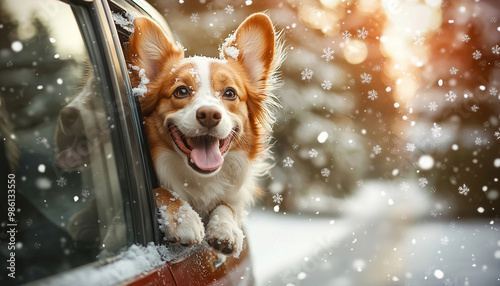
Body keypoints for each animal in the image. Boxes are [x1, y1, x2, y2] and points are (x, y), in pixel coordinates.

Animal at [127, 12, 284, 256]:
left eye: (230, 93)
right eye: (181, 91)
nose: (209, 114)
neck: (199, 180)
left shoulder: (232, 198)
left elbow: (226, 206)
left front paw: (225, 229)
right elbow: (160, 190)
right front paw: (184, 219)